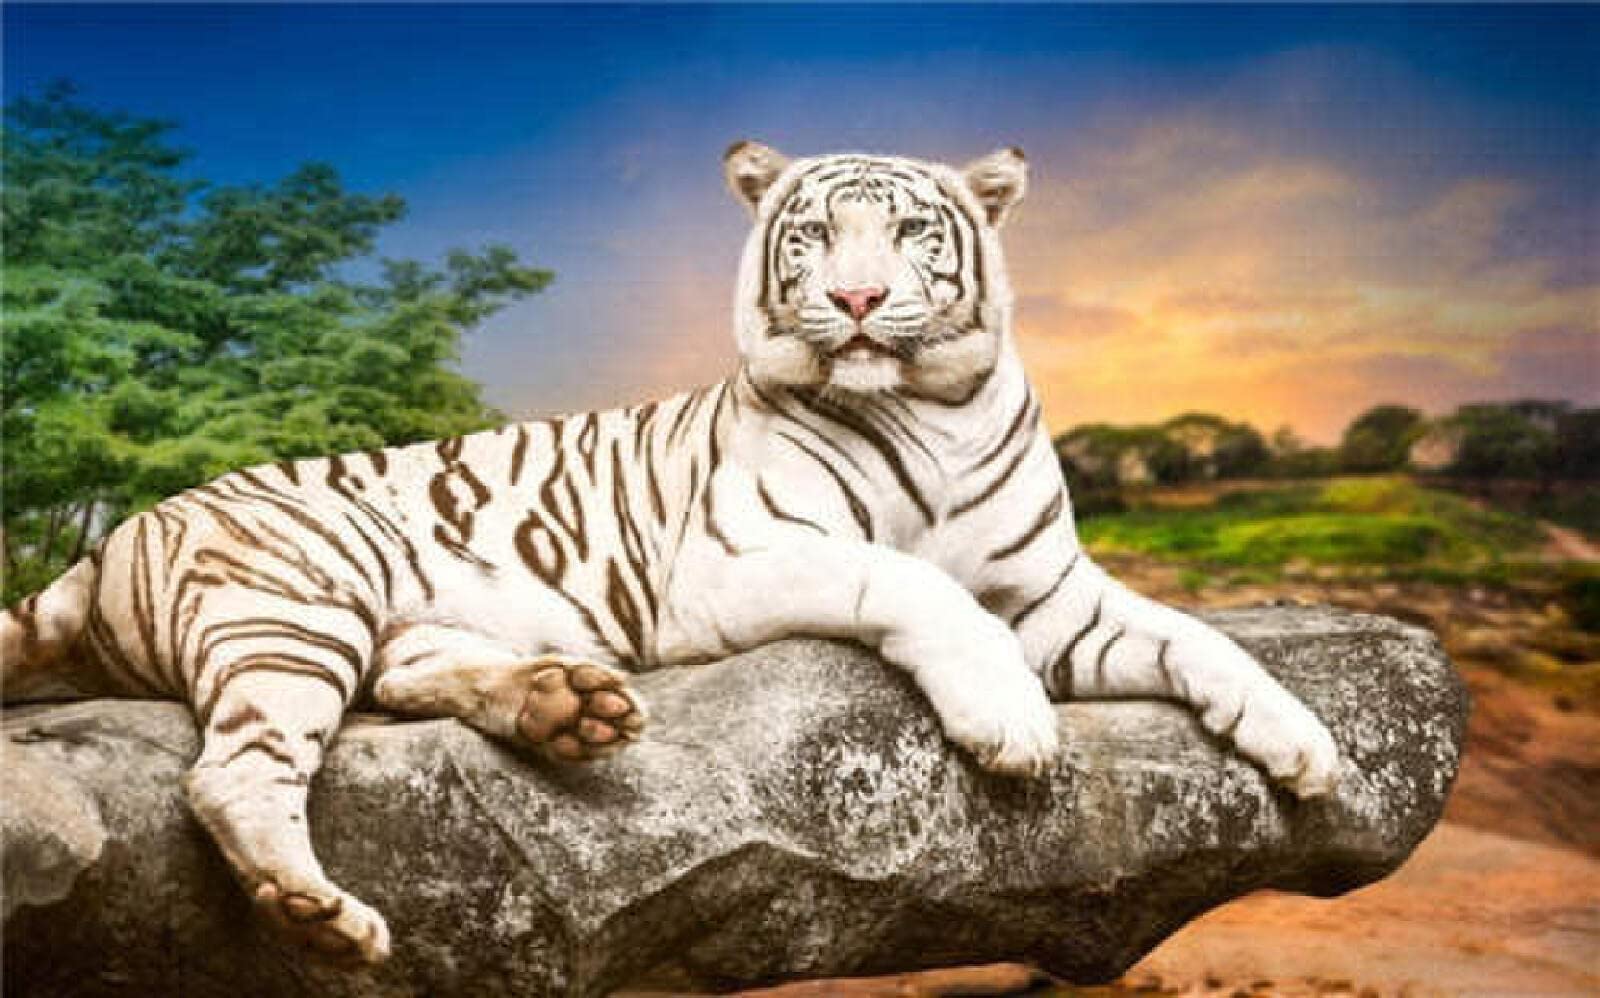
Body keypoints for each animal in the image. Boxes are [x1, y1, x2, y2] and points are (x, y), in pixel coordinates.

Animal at [1, 142, 1341, 965]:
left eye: (911, 229)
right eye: (812, 238)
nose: (858, 301)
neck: (938, 405)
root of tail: (121, 529)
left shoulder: (1054, 595)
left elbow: (1199, 638)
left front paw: (1309, 748)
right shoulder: (743, 558)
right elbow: (911, 578)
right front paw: (1010, 722)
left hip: (384, 620)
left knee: (405, 673)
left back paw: (565, 707)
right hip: (297, 602)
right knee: (233, 772)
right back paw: (321, 912)